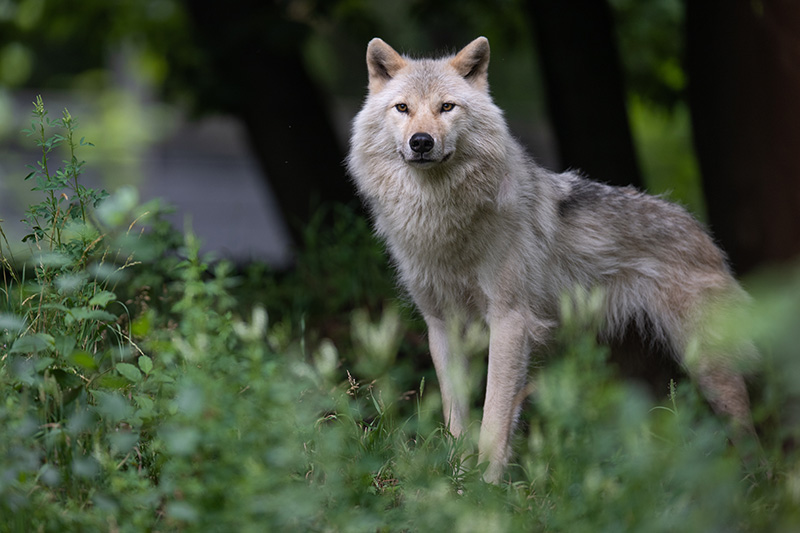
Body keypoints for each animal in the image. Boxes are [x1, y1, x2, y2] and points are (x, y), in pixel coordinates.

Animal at [347, 36, 759, 483]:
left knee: (750, 435)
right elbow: (456, 416)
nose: (421, 141)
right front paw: (456, 478)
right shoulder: (441, 327)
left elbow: (494, 416)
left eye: (447, 107)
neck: (441, 222)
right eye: (402, 108)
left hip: (708, 369)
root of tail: (702, 232)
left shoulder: (510, 321)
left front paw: (486, 486)